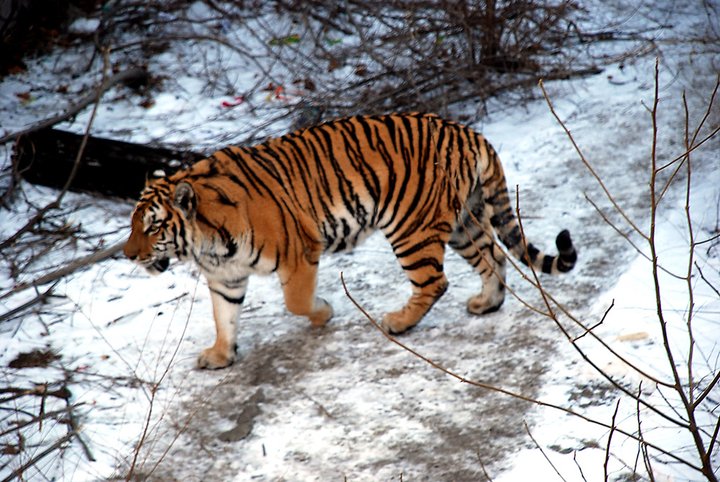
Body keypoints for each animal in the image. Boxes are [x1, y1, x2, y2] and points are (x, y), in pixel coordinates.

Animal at [122, 112, 572, 370]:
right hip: (465, 220)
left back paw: (398, 323)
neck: (207, 243)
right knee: (494, 257)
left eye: (152, 227)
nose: (127, 255)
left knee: (435, 282)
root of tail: (467, 133)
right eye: (132, 225)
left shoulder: (299, 252)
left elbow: (296, 301)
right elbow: (224, 317)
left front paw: (324, 312)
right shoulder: (225, 276)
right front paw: (220, 355)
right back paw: (485, 304)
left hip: (411, 227)